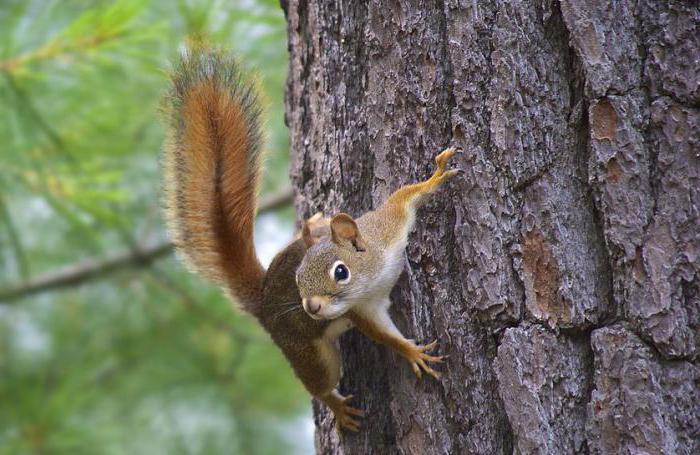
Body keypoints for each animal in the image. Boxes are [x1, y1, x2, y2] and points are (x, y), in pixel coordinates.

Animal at [161, 44, 462, 432]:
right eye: (298, 280)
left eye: (340, 272)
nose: (311, 308)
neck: (374, 274)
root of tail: (262, 302)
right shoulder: (362, 309)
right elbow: (382, 334)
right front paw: (412, 352)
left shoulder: (388, 227)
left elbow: (404, 197)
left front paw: (435, 177)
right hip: (304, 350)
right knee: (319, 382)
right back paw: (337, 406)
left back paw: (315, 222)